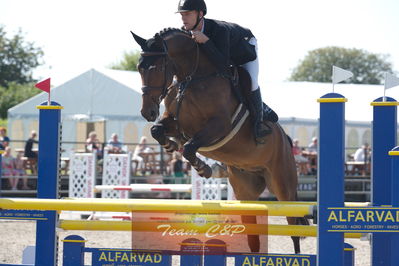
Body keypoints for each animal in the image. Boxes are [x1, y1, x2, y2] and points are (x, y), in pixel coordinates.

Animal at [132, 27, 310, 254]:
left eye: (158, 67)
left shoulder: (219, 126)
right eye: (139, 68)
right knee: (253, 231)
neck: (193, 78)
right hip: (245, 189)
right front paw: (171, 145)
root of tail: (286, 142)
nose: (147, 112)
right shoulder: (176, 123)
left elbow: (189, 147)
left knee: (294, 226)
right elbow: (158, 131)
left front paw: (204, 169)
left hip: (282, 184)